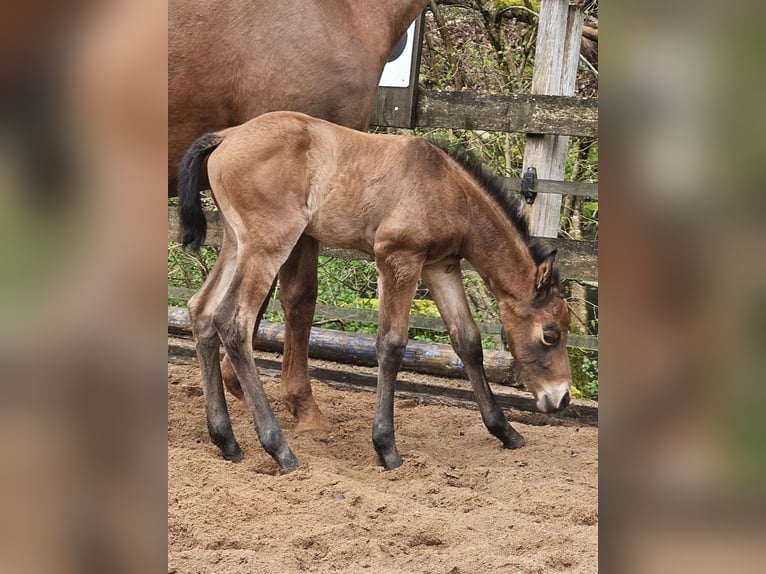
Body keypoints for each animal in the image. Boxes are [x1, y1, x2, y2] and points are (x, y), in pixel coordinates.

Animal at [178, 111, 572, 473]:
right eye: (550, 334)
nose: (562, 398)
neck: (449, 189)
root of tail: (226, 136)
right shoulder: (399, 258)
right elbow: (392, 344)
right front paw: (386, 447)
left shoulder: (441, 266)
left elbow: (468, 341)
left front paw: (505, 430)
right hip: (268, 244)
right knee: (234, 322)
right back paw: (281, 450)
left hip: (235, 242)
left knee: (202, 311)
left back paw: (226, 440)